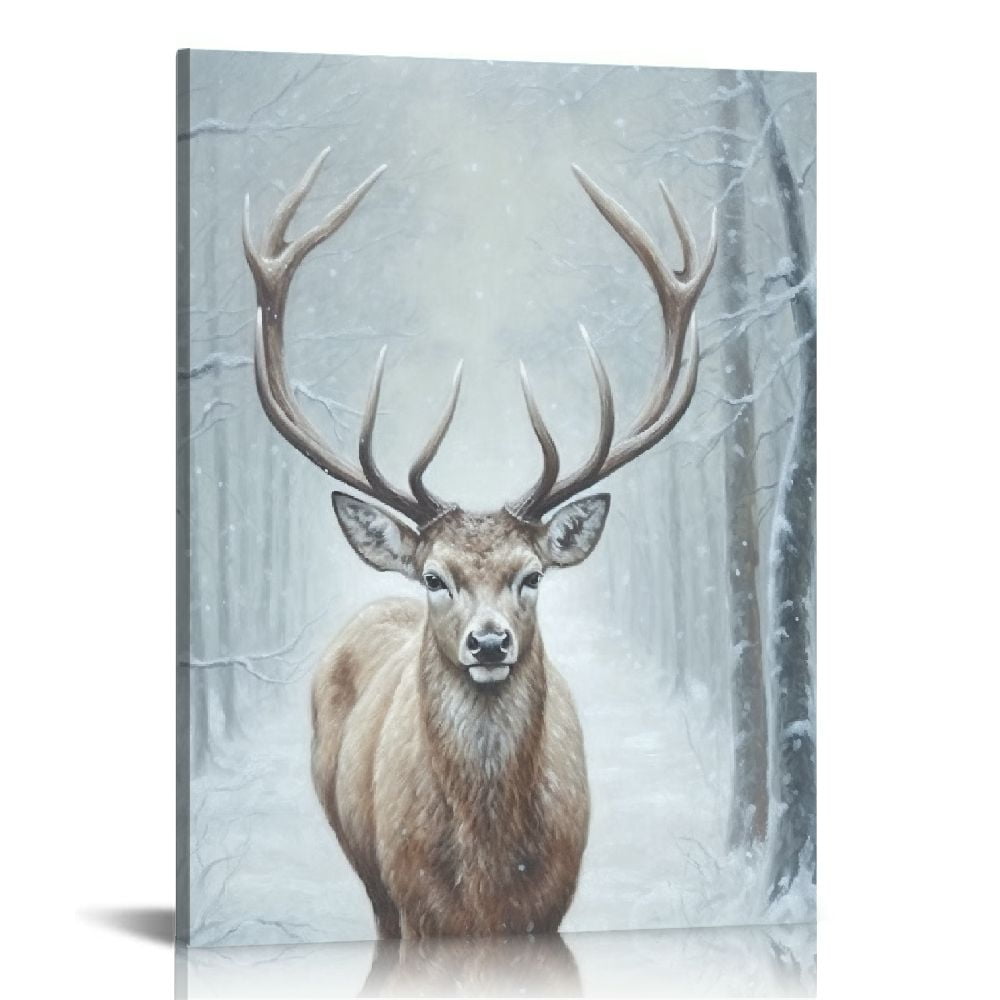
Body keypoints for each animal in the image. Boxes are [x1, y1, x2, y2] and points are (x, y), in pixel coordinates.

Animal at [242, 148, 717, 940]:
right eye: (435, 577)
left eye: (533, 576)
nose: (489, 643)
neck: (486, 884)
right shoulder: (413, 905)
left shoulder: (552, 908)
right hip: (365, 869)